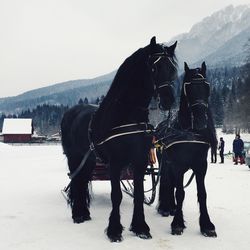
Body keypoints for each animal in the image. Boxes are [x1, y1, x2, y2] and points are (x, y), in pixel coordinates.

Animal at [61, 37, 178, 242]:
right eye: (154, 68)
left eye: (172, 69)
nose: (168, 100)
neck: (126, 116)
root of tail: (70, 112)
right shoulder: (115, 163)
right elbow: (116, 195)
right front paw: (114, 230)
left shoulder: (139, 162)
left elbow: (138, 194)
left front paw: (140, 227)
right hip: (74, 157)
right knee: (76, 182)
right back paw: (78, 215)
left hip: (88, 160)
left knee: (82, 181)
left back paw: (85, 213)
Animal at [155, 62, 218, 236]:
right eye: (188, 88)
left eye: (206, 86)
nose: (201, 120)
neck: (189, 133)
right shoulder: (178, 165)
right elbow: (180, 192)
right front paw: (177, 223)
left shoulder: (201, 165)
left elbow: (202, 194)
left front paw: (207, 225)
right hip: (166, 164)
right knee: (168, 182)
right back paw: (166, 208)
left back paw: (171, 207)